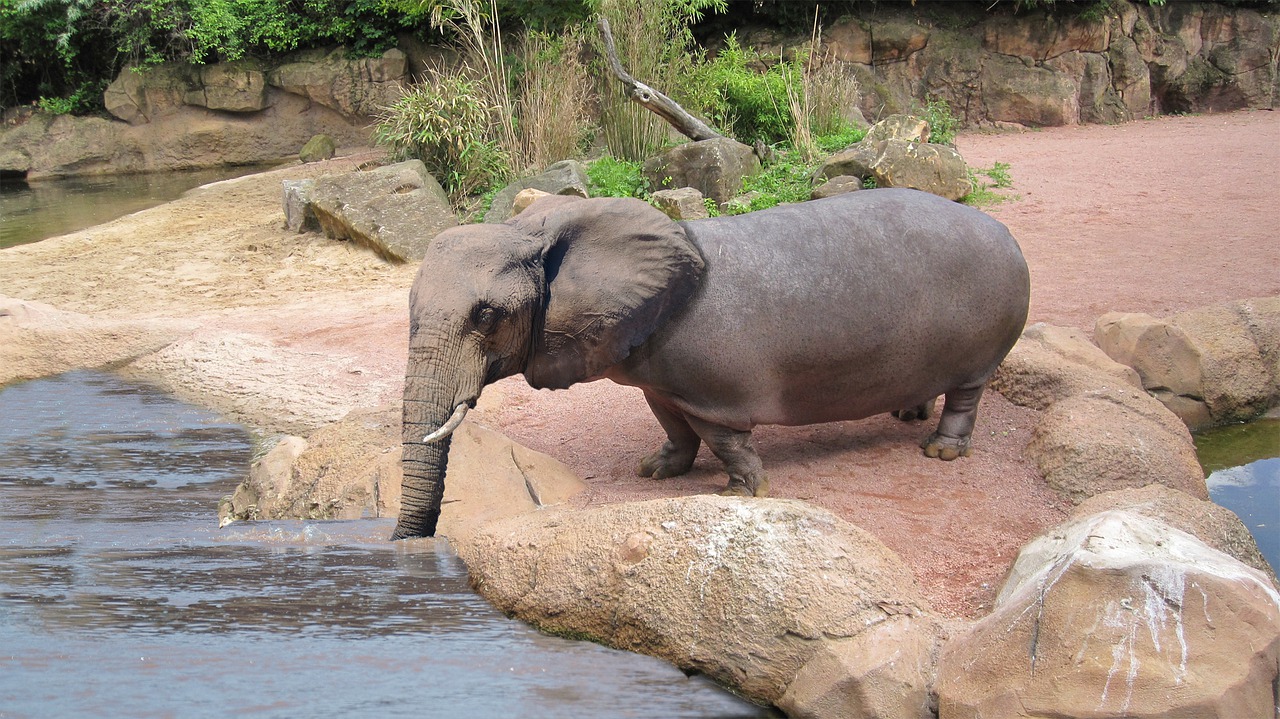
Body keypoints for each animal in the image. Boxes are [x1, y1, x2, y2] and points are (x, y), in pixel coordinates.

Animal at [394, 188, 1034, 534]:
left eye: (485, 314)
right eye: (410, 299)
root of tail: (1003, 229)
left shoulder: (715, 399)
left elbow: (725, 441)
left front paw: (738, 494)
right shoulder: (660, 389)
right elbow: (673, 429)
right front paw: (655, 471)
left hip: (979, 364)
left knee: (966, 401)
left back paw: (941, 450)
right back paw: (907, 414)